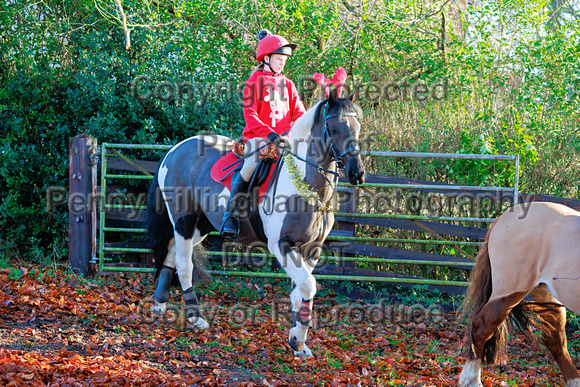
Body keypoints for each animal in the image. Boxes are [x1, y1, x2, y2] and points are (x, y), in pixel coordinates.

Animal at [145, 91, 362, 358]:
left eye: (358, 127)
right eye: (334, 128)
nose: (357, 173)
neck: (305, 186)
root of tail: (174, 150)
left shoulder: (311, 249)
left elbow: (299, 293)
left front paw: (298, 342)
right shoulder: (282, 246)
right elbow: (308, 286)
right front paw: (298, 339)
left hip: (200, 226)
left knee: (172, 252)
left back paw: (160, 303)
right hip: (183, 220)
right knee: (184, 265)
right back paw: (197, 318)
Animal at [462, 203, 580, 387]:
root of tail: (503, 216)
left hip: (544, 294)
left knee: (555, 339)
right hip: (509, 292)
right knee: (482, 326)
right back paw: (471, 380)